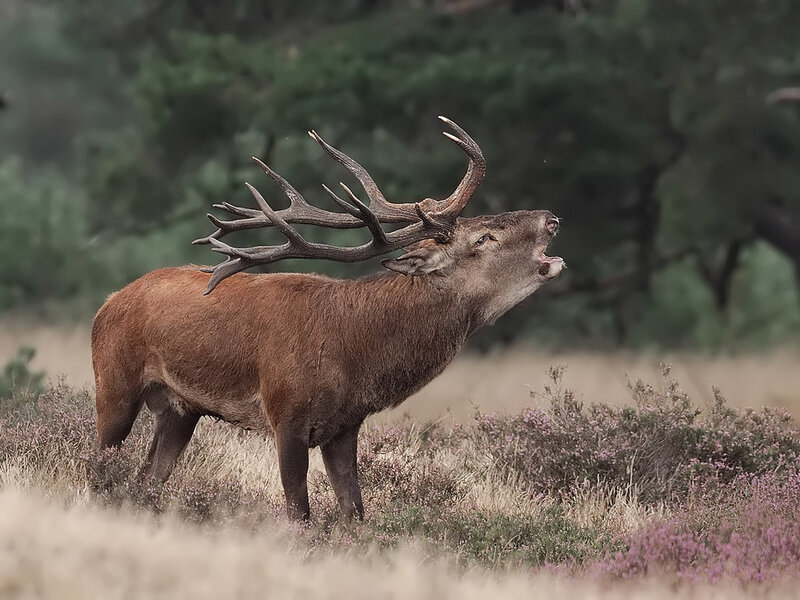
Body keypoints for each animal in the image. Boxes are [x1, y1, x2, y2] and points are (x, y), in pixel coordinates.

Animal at [91, 117, 564, 520]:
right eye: (483, 238)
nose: (551, 218)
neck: (353, 352)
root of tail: (107, 302)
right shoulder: (285, 416)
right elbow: (299, 513)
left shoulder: (344, 428)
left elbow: (354, 512)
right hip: (113, 384)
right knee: (99, 471)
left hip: (179, 410)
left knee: (145, 480)